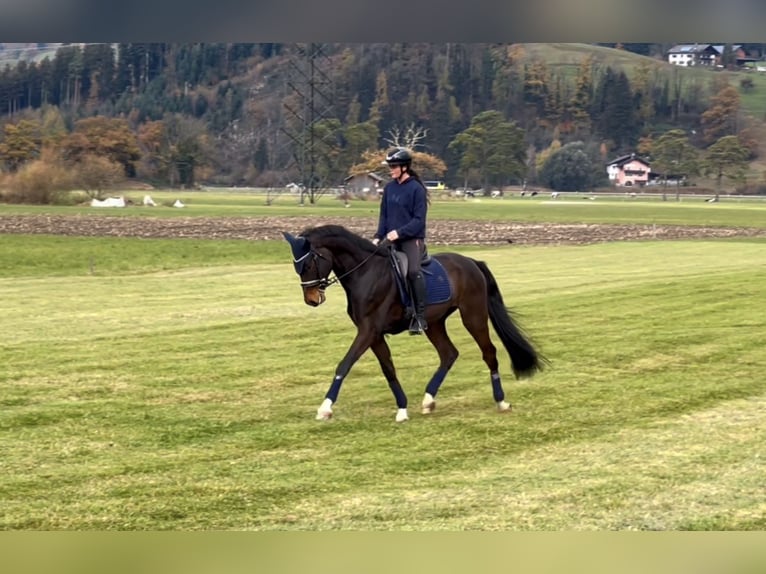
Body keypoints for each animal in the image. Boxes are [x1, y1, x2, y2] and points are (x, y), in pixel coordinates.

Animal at [284, 225, 544, 424]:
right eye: (296, 266)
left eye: (308, 264)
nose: (311, 300)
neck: (366, 273)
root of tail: (470, 261)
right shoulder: (374, 334)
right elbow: (388, 369)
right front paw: (402, 408)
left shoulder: (368, 331)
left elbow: (344, 365)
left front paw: (325, 408)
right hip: (435, 323)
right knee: (449, 354)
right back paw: (428, 401)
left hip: (474, 316)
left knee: (489, 352)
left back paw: (501, 401)